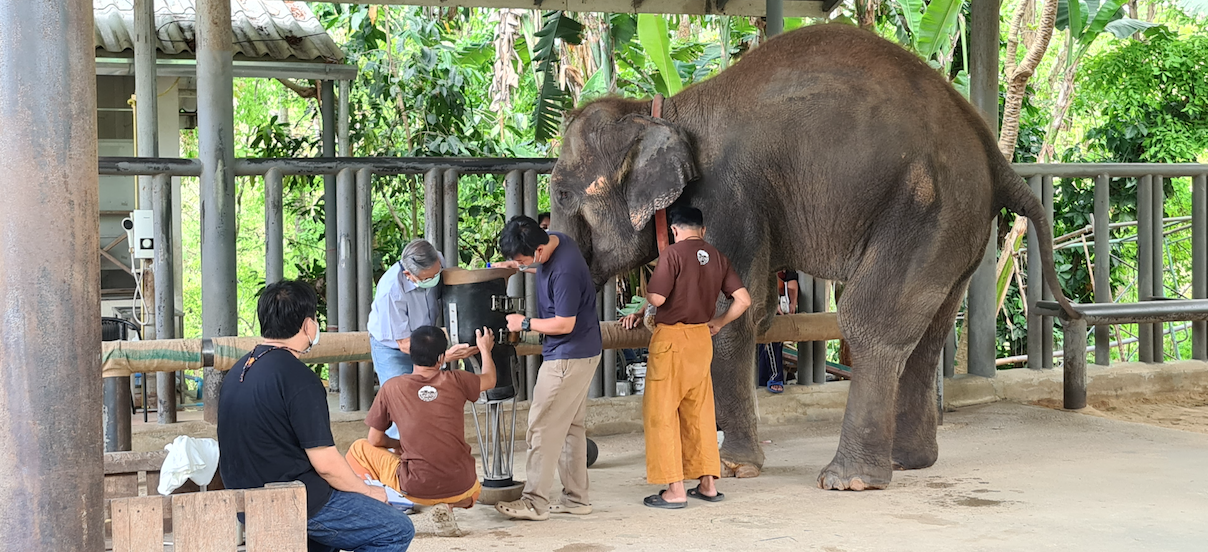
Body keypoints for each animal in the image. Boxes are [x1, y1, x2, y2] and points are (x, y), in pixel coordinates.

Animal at [548, 23, 1077, 487]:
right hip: (959, 226)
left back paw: (851, 480)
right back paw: (908, 462)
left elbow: (731, 312)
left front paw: (735, 468)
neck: (660, 110)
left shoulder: (725, 197)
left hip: (926, 208)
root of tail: (992, 151)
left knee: (870, 321)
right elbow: (757, 308)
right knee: (929, 333)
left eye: (561, 193)